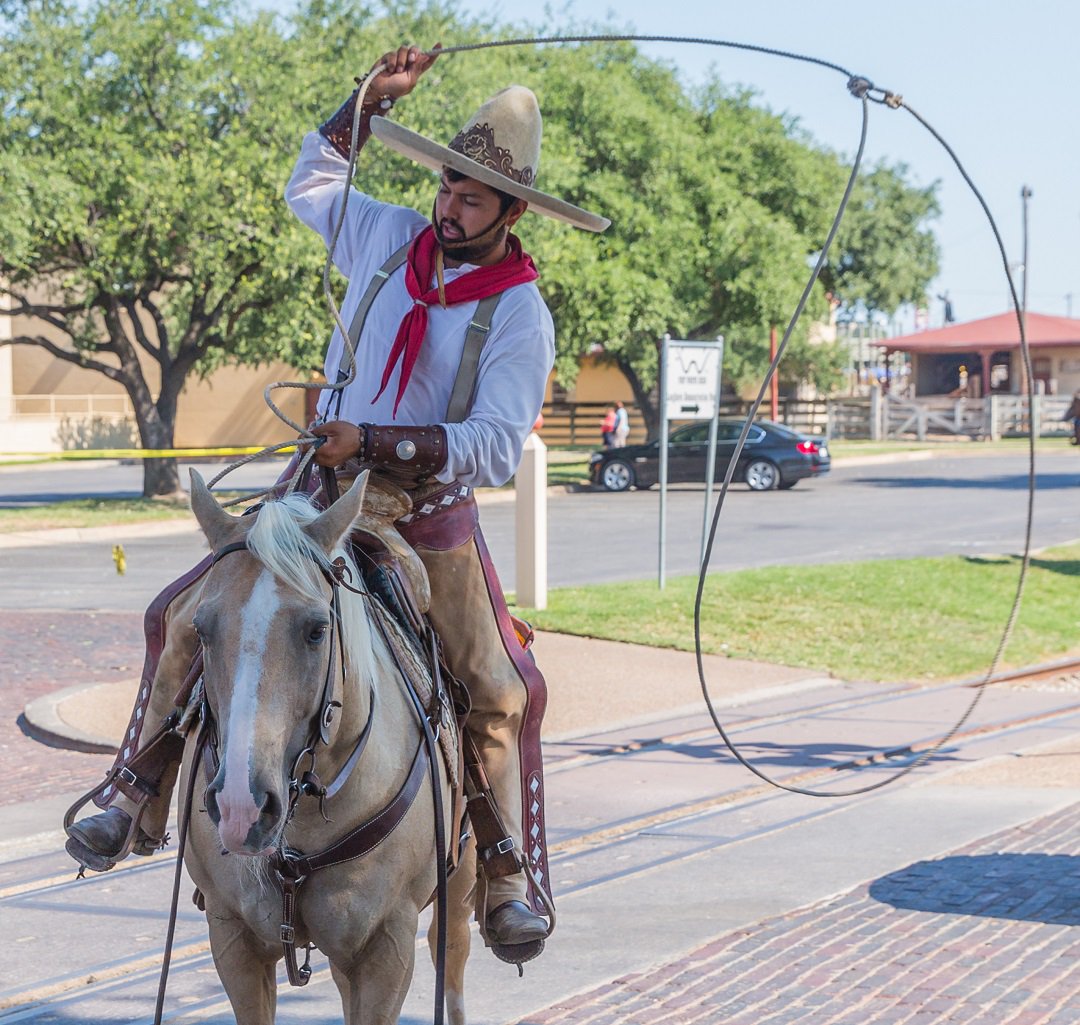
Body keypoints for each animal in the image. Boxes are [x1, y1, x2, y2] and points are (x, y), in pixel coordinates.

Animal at [179, 470, 475, 1023]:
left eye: (317, 630)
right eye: (200, 629)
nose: (240, 806)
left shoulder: (385, 946)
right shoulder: (233, 937)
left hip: (459, 883)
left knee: (454, 959)